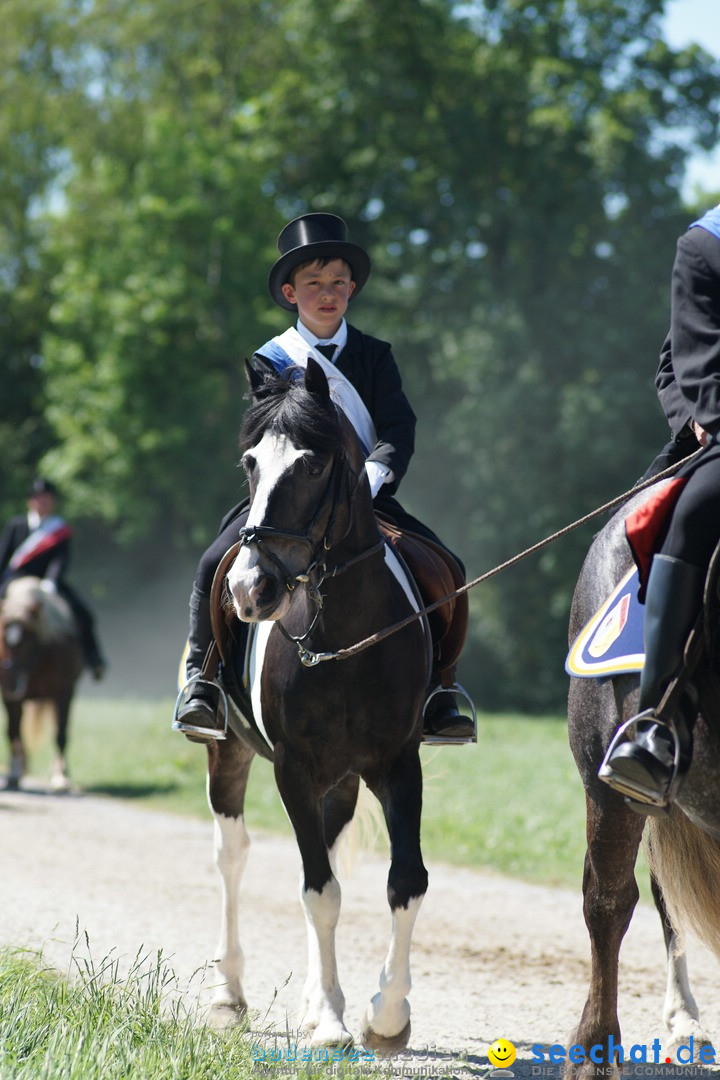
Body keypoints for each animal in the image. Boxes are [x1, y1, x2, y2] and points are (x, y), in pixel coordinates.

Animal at [0, 578, 83, 790]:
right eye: (2, 639)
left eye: (27, 638)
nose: (10, 685)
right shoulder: (12, 699)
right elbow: (13, 732)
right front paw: (14, 775)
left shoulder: (64, 693)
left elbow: (60, 733)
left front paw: (60, 777)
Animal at [199, 358, 431, 1049]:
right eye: (250, 463)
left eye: (309, 466)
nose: (250, 588)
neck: (345, 633)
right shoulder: (293, 770)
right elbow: (319, 891)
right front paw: (330, 1018)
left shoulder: (397, 764)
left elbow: (403, 882)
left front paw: (386, 1014)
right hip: (229, 754)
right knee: (233, 856)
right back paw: (228, 993)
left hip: (344, 781)